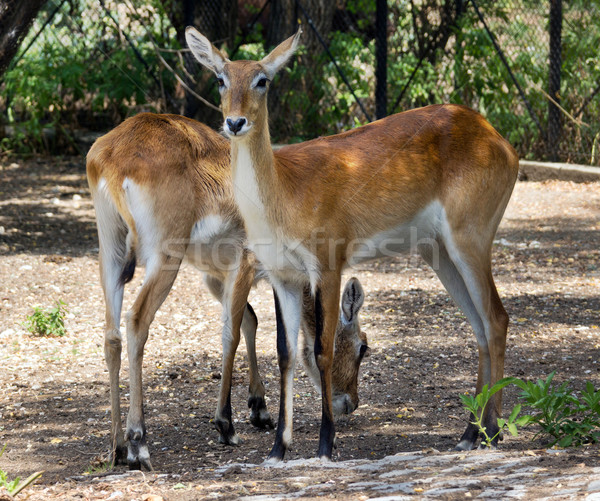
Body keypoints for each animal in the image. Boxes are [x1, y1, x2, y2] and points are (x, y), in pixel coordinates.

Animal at [84, 112, 366, 468]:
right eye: (363, 346)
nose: (352, 402)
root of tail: (110, 156)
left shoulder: (215, 278)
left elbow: (251, 322)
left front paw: (259, 409)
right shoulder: (243, 264)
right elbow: (231, 334)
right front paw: (225, 424)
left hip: (110, 248)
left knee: (111, 334)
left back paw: (118, 447)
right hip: (164, 255)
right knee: (136, 321)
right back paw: (139, 443)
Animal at [186, 26, 520, 458]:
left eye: (263, 80)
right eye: (220, 79)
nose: (235, 121)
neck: (285, 194)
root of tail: (503, 143)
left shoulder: (328, 265)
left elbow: (322, 350)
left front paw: (325, 444)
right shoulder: (282, 276)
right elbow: (286, 353)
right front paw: (277, 449)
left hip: (471, 238)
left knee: (496, 318)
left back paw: (492, 431)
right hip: (438, 251)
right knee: (478, 325)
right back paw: (468, 433)